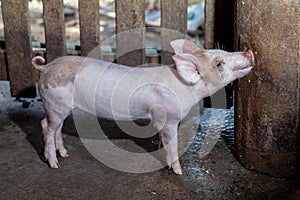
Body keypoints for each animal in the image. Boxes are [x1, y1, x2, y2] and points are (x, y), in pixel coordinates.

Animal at [32, 39, 253, 173]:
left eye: (223, 51)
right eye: (219, 63)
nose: (249, 52)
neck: (187, 87)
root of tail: (47, 66)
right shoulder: (168, 118)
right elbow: (172, 143)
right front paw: (178, 172)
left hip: (60, 106)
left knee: (57, 128)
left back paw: (64, 154)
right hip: (53, 102)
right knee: (45, 126)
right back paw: (54, 164)